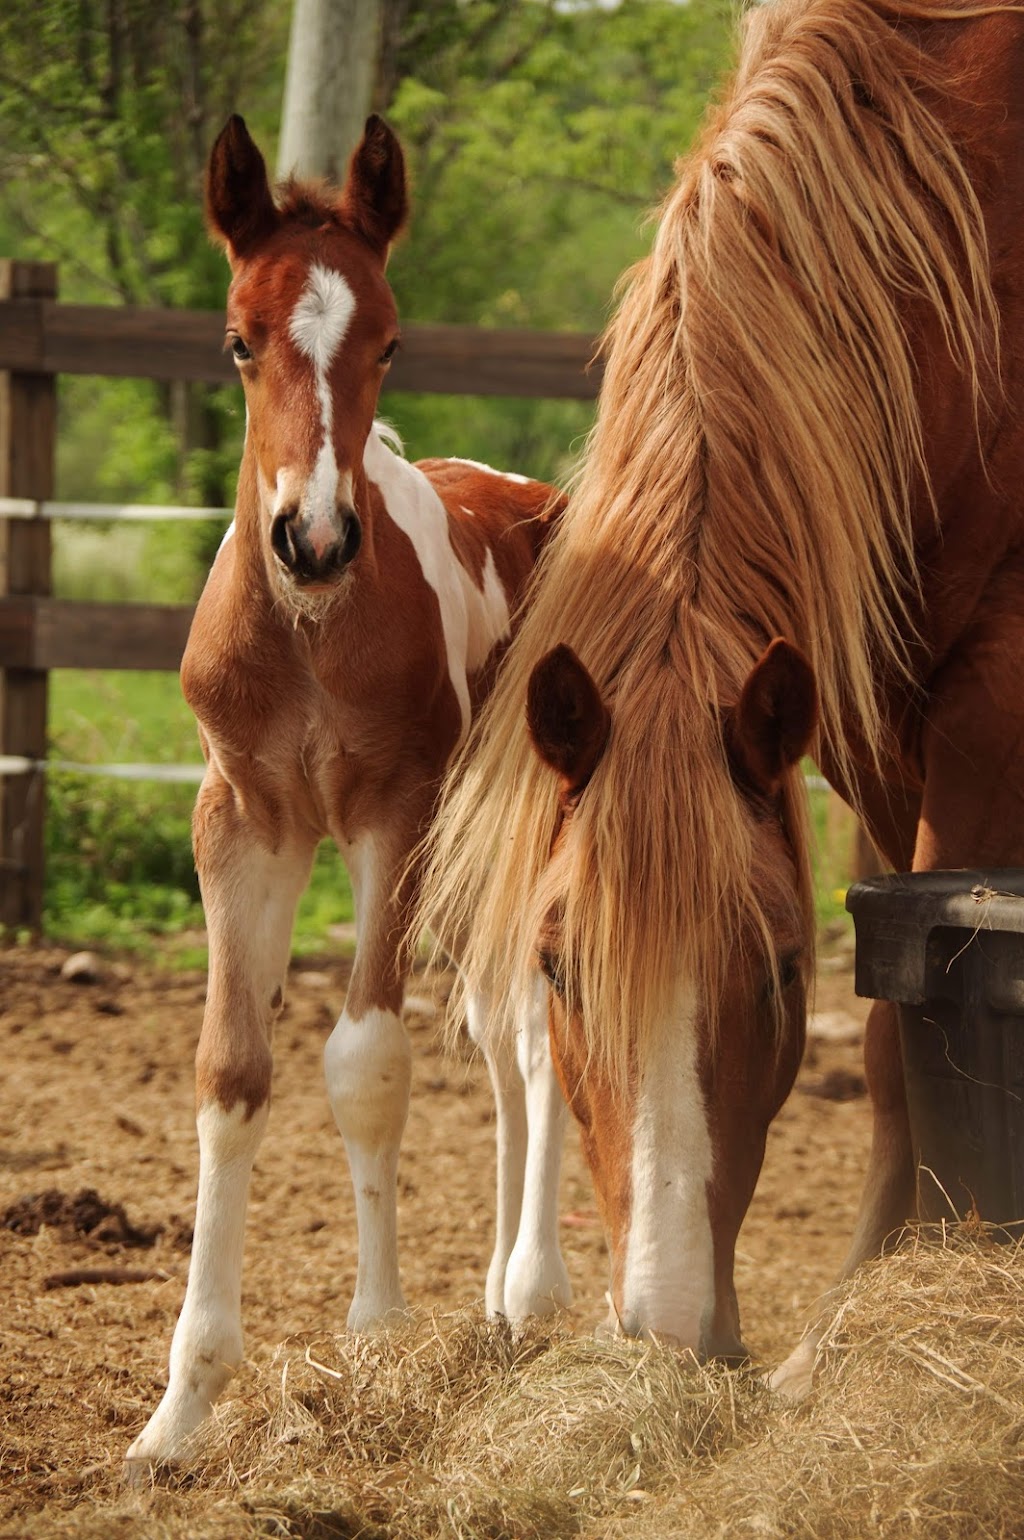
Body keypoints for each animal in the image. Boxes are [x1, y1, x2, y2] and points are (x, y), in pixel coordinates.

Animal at [125, 111, 566, 1466]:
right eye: (238, 337)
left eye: (389, 341)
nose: (312, 540)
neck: (314, 633)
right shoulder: (243, 820)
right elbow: (232, 1073)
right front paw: (181, 1405)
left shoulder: (390, 813)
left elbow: (366, 1060)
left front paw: (375, 1332)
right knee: (501, 1034)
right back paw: (499, 1303)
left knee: (540, 1025)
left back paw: (537, 1291)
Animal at [415, 0, 1022, 1386]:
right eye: (556, 968)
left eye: (780, 972)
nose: (670, 1327)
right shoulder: (867, 729)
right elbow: (897, 1027)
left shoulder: (984, 710)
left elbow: (926, 1007)